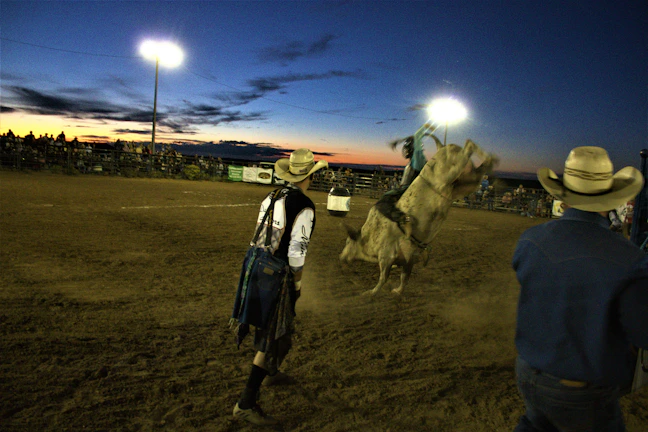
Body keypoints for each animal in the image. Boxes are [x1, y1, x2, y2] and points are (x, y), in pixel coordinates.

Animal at [339, 137, 498, 296]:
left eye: (347, 242)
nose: (341, 257)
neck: (369, 234)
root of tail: (442, 147)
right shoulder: (409, 259)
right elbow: (404, 278)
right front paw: (398, 291)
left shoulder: (386, 256)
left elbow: (383, 278)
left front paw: (370, 293)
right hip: (465, 183)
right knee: (479, 169)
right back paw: (490, 160)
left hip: (453, 170)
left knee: (468, 146)